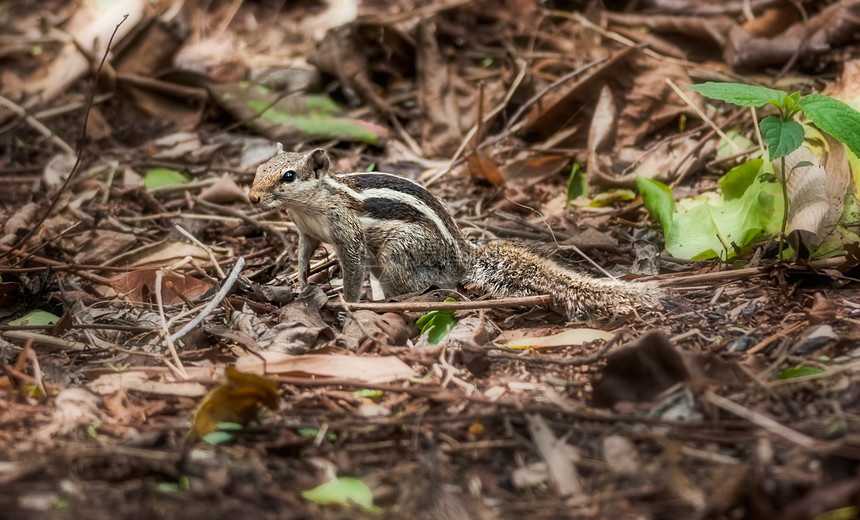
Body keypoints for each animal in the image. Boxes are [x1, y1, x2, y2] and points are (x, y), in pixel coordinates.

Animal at [249, 144, 664, 318]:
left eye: (288, 176)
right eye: (259, 169)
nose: (252, 197)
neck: (309, 206)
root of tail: (463, 256)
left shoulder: (347, 234)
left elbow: (351, 267)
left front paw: (348, 301)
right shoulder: (306, 232)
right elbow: (304, 253)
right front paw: (301, 280)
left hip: (399, 253)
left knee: (424, 284)